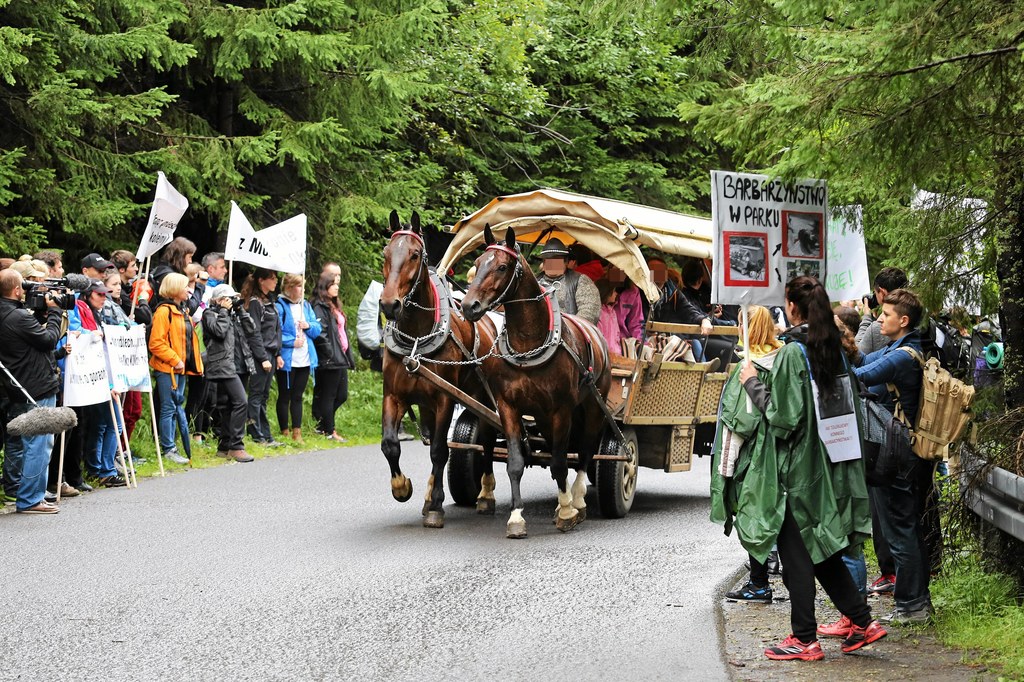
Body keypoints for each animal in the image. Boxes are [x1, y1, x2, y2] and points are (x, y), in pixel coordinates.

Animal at [380, 209, 499, 528]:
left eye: (414, 254)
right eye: (386, 253)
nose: (389, 304)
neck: (416, 339)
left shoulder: (445, 398)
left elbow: (439, 450)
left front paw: (435, 507)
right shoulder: (394, 396)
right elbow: (390, 444)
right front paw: (402, 487)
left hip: (484, 400)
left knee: (486, 442)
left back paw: (485, 495)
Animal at [460, 224, 610, 536]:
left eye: (502, 267)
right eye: (477, 263)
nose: (469, 306)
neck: (529, 345)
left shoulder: (561, 409)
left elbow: (561, 462)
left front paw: (566, 511)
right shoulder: (508, 407)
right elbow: (516, 463)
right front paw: (517, 517)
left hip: (592, 407)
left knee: (585, 450)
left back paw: (577, 500)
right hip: (542, 415)